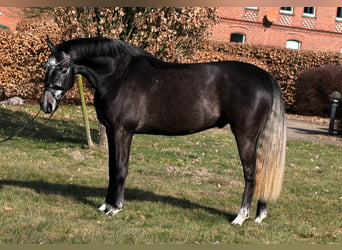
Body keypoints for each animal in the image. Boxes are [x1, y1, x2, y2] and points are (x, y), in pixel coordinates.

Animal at [40, 36, 286, 226]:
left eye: (63, 68)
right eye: (46, 68)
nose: (46, 105)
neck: (117, 75)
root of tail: (266, 77)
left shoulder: (122, 131)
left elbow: (120, 169)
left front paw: (116, 207)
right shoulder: (110, 131)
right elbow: (111, 168)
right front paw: (105, 204)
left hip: (245, 135)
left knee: (251, 174)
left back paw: (240, 217)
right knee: (263, 170)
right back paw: (260, 214)